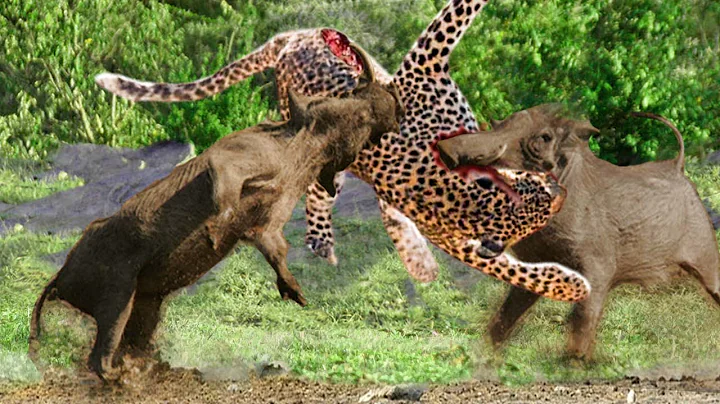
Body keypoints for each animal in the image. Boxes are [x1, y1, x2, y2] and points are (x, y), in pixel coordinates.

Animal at [94, 0, 591, 302]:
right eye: (540, 199)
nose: (563, 193)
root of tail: (288, 41)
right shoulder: (424, 68)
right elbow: (452, 18)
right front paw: (575, 288)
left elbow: (515, 270)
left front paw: (567, 287)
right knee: (318, 198)